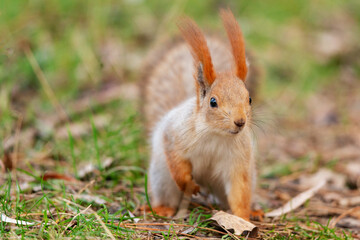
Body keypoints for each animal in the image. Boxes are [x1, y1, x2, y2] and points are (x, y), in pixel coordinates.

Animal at [141, 8, 256, 219]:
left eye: (249, 99)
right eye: (213, 102)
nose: (240, 122)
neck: (216, 134)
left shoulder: (239, 160)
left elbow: (239, 190)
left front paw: (243, 217)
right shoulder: (175, 134)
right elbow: (177, 164)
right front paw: (189, 185)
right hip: (162, 176)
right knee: (168, 192)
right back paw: (163, 208)